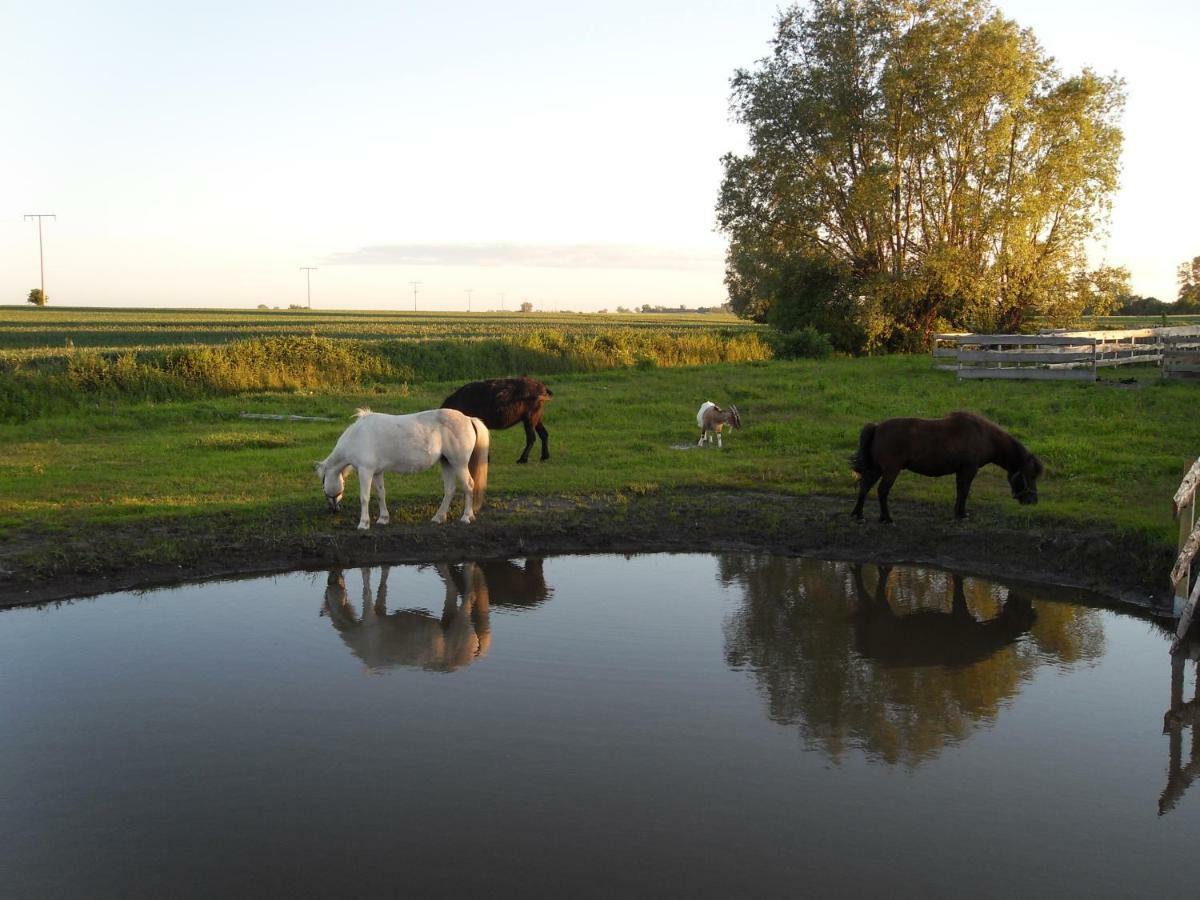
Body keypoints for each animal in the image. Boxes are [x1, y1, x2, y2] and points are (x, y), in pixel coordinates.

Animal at [319, 408, 492, 528]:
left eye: (322, 484)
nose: (333, 509)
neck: (357, 436)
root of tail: (468, 419)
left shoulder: (365, 471)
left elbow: (364, 497)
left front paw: (363, 523)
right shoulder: (377, 472)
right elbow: (380, 494)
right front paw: (383, 519)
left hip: (459, 463)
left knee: (468, 485)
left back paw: (466, 517)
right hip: (446, 462)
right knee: (450, 489)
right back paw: (438, 517)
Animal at [854, 412, 1041, 525]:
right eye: (1031, 475)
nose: (1033, 501)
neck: (983, 435)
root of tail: (877, 427)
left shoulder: (961, 471)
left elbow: (960, 491)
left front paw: (958, 513)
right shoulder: (969, 469)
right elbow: (964, 492)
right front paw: (961, 514)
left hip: (877, 469)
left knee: (864, 487)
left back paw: (859, 515)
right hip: (891, 470)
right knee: (882, 490)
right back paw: (887, 518)